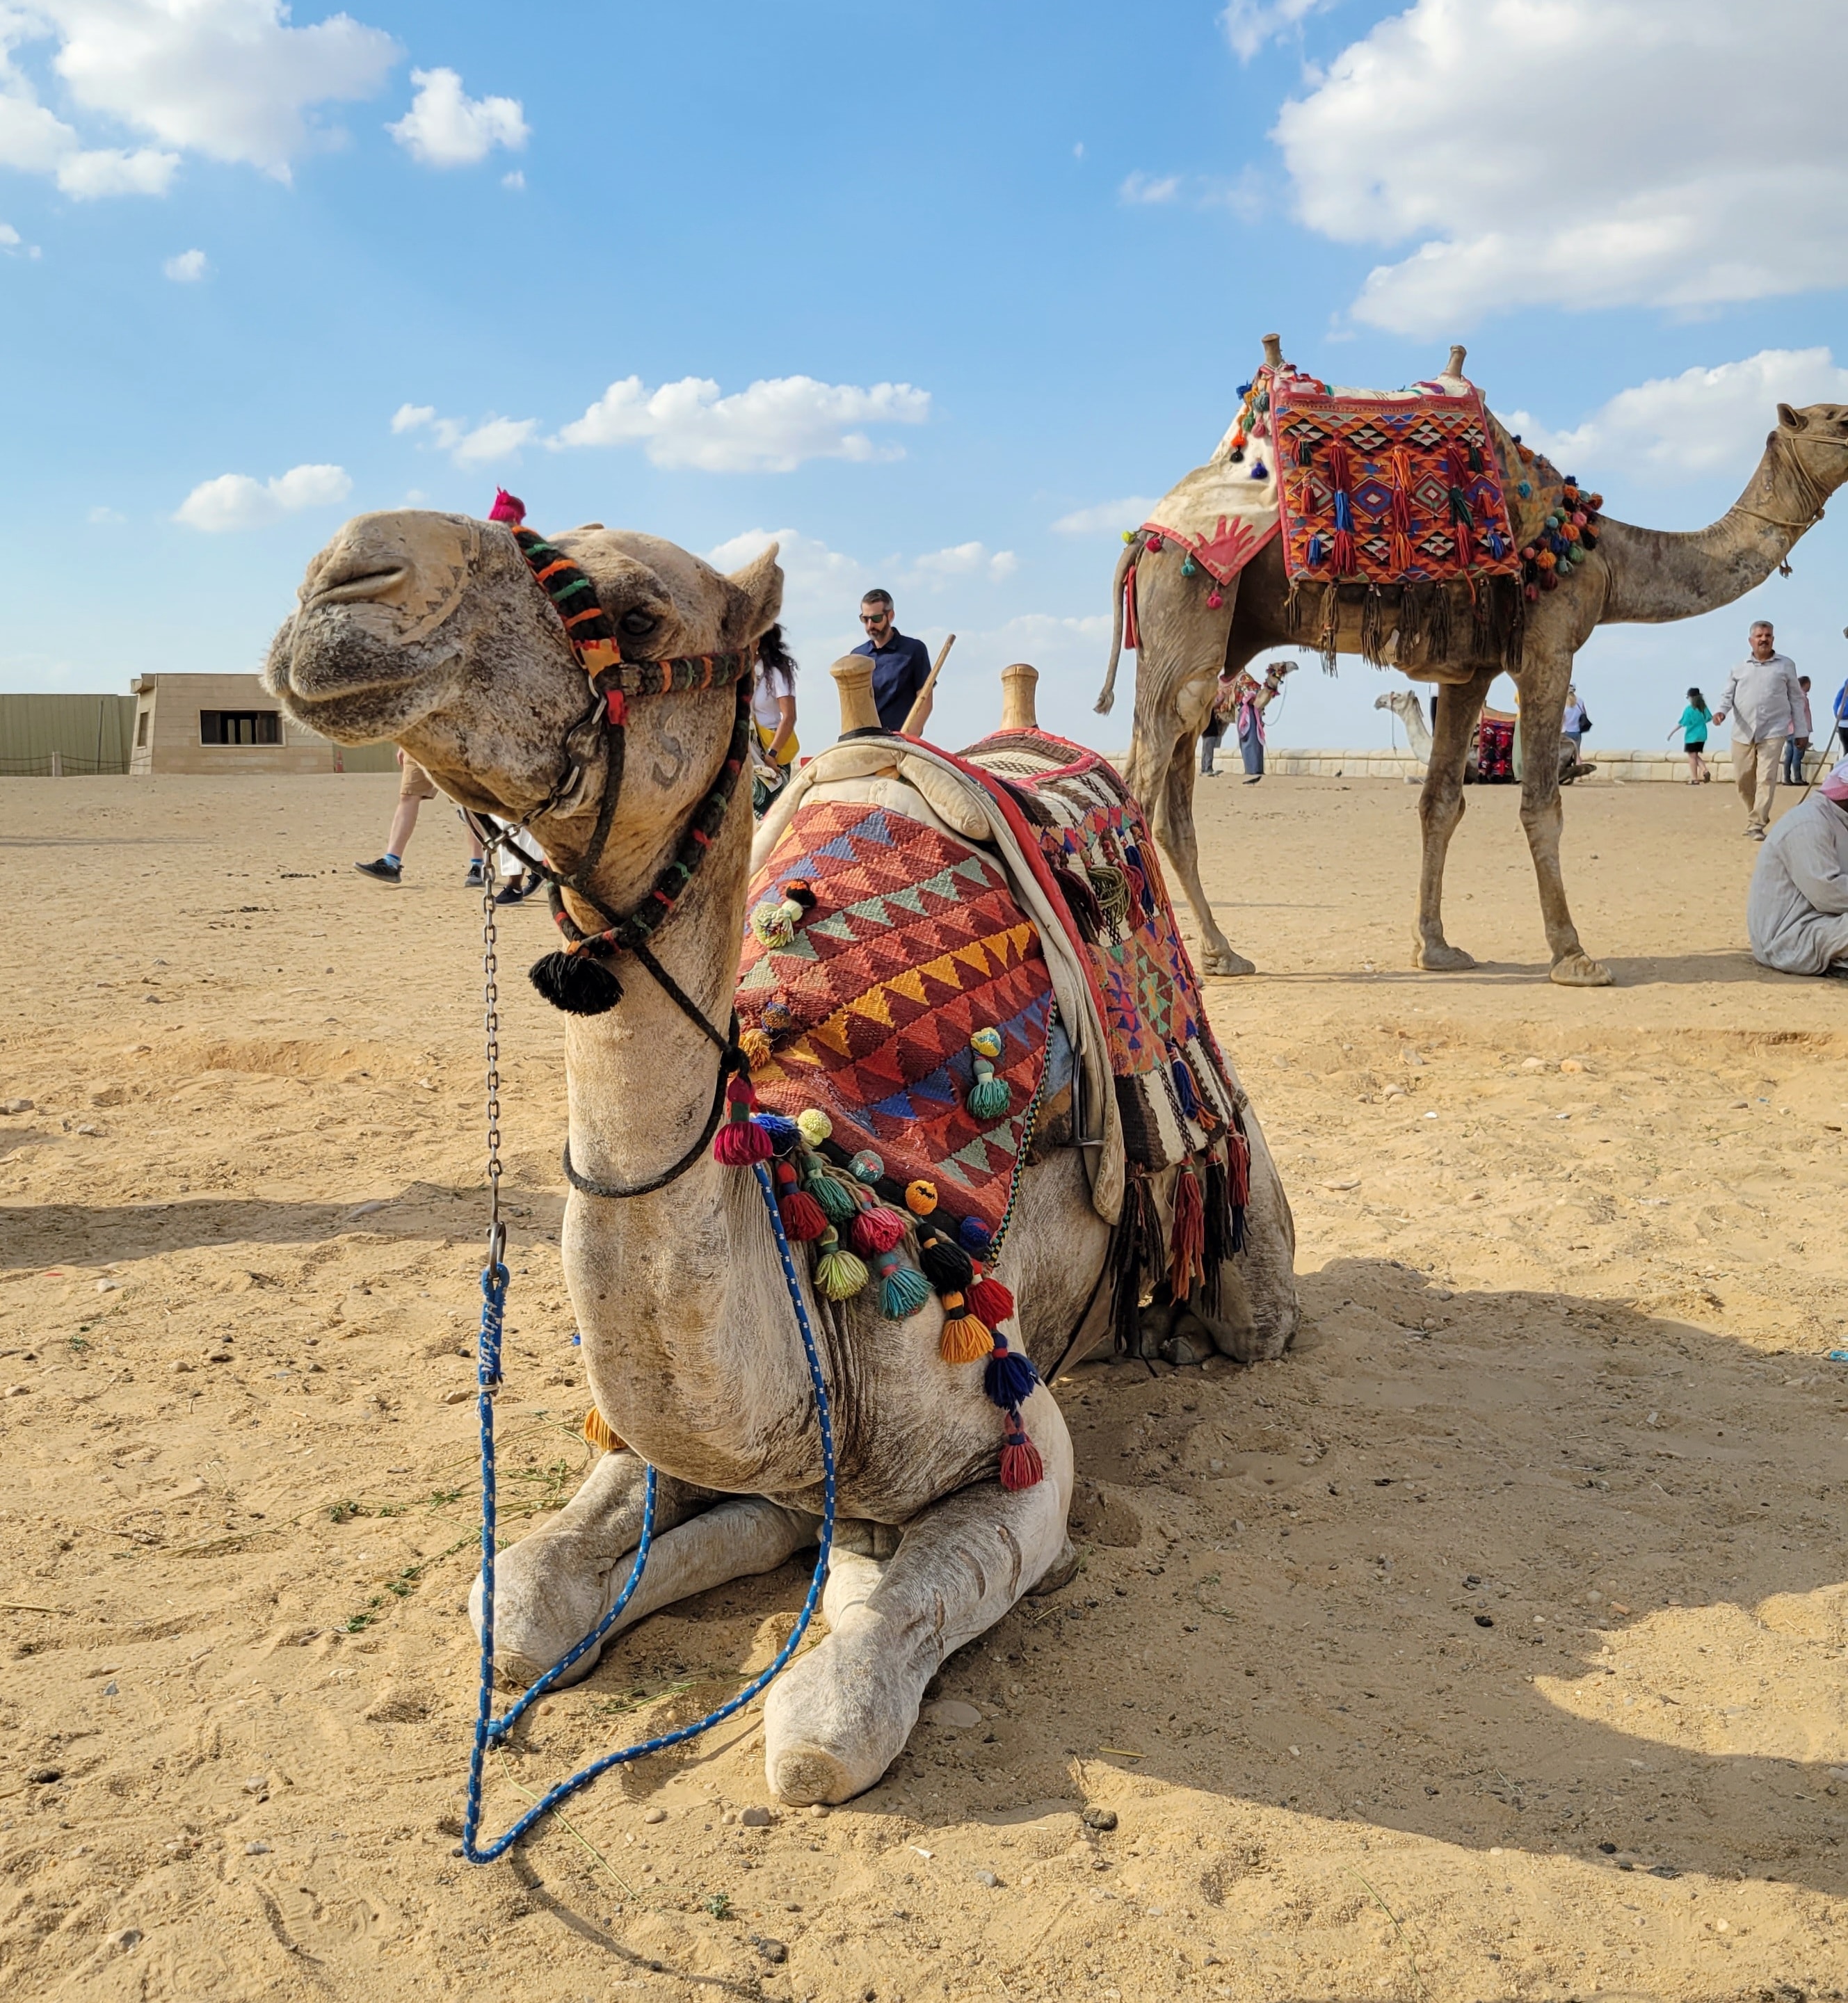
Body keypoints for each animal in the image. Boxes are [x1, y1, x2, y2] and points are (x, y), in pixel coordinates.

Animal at [264, 511, 1299, 1808]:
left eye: (637, 610)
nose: (342, 580)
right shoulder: (672, 1445)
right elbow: (516, 1600)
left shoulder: (1018, 1444)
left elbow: (823, 1725)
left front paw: (846, 1582)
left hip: (1243, 1225)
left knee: (1251, 1309)